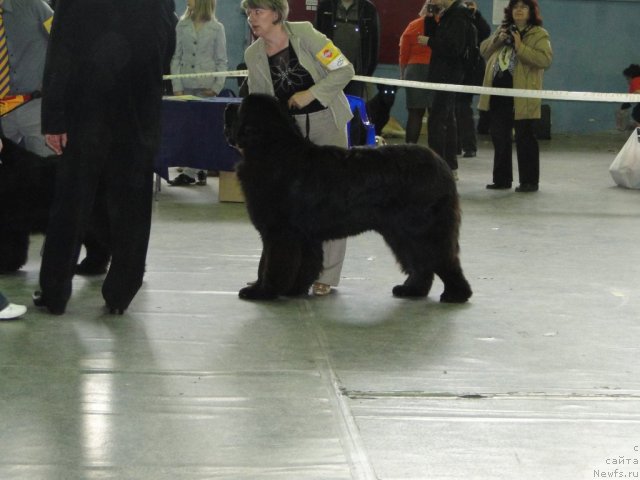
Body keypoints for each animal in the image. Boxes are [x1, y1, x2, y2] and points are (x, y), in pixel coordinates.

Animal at [224, 94, 470, 304]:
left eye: (241, 108)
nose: (226, 107)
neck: (272, 150)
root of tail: (441, 164)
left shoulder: (279, 232)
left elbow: (272, 264)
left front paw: (261, 291)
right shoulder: (304, 235)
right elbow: (305, 264)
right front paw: (294, 289)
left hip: (421, 228)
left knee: (443, 259)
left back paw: (456, 294)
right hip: (400, 232)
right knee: (421, 263)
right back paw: (412, 290)